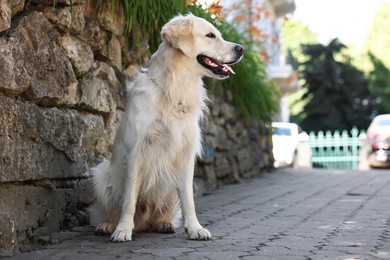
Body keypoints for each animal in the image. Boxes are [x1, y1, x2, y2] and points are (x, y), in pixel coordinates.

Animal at [90, 13, 244, 242]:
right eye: (210, 35)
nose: (241, 48)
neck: (174, 89)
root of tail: (143, 223)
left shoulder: (186, 156)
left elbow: (189, 201)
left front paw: (195, 228)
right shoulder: (136, 153)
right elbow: (129, 200)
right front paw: (122, 230)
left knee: (162, 214)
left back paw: (164, 224)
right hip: (101, 174)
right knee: (110, 210)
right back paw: (108, 225)